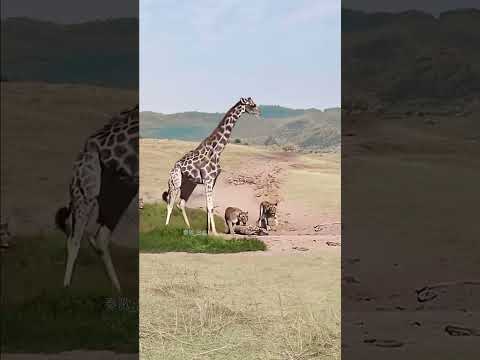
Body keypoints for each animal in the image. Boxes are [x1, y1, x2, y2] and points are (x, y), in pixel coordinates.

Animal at [56, 104, 140, 292]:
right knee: (77, 238)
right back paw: (66, 287)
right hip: (90, 190)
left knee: (97, 236)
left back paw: (118, 288)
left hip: (116, 186)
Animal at [163, 97, 260, 235]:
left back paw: (189, 228)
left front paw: (208, 231)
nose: (259, 112)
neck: (217, 151)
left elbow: (209, 206)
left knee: (180, 203)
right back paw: (166, 227)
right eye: (252, 105)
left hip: (189, 184)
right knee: (170, 203)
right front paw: (214, 232)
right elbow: (210, 206)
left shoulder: (212, 180)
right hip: (175, 183)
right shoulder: (208, 180)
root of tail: (172, 169)